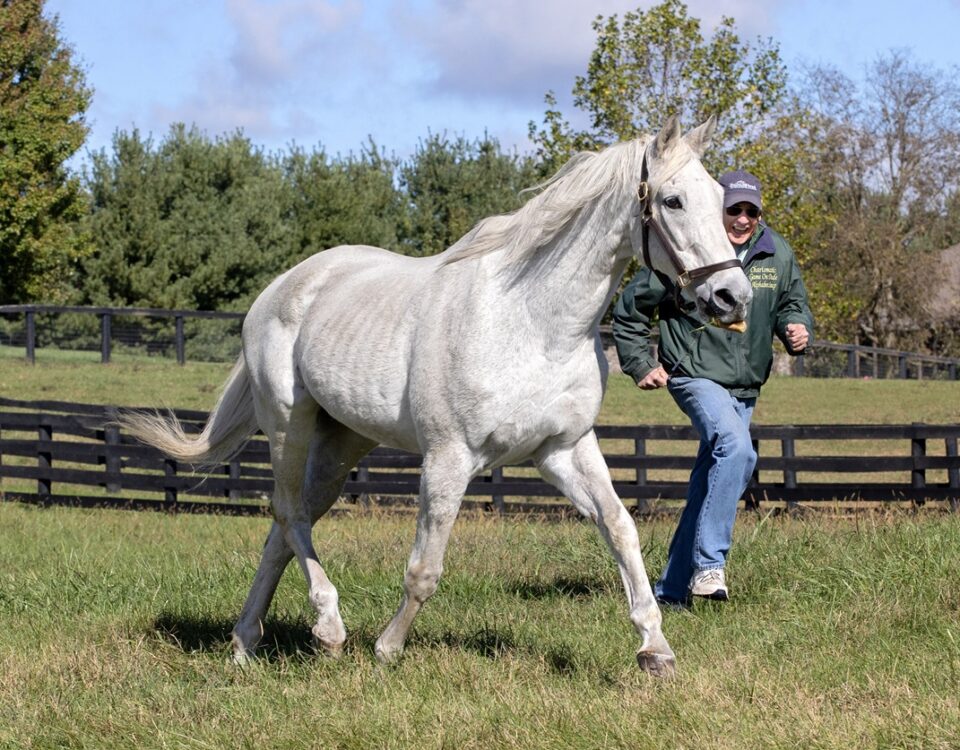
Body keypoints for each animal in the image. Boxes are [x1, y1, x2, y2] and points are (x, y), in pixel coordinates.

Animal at [122, 117, 752, 680]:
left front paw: (655, 650)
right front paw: (387, 650)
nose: (732, 296)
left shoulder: (563, 450)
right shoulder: (450, 457)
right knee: (290, 513)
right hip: (288, 424)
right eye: (672, 200)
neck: (533, 322)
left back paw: (245, 643)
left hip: (340, 444)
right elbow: (425, 568)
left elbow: (620, 529)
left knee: (284, 526)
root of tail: (277, 289)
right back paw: (329, 628)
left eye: (722, 201)